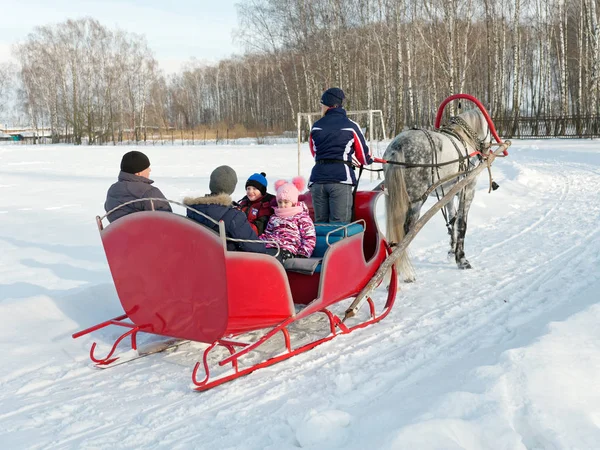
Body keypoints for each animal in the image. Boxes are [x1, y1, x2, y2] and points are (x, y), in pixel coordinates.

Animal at [384, 108, 492, 282]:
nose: (486, 152)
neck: (465, 139)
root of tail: (397, 148)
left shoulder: (448, 192)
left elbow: (452, 220)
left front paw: (452, 250)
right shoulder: (467, 189)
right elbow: (461, 223)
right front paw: (462, 259)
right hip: (416, 200)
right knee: (406, 232)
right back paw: (406, 272)